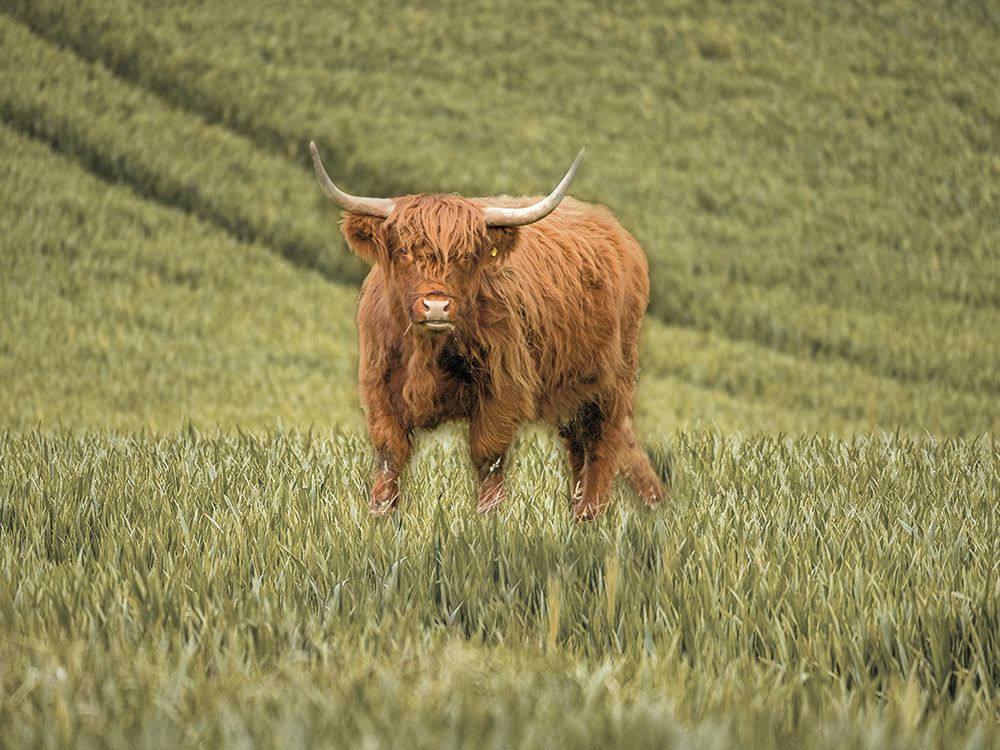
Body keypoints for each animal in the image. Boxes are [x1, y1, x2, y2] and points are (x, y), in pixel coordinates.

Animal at [310, 141, 665, 520]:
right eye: (404, 250)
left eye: (466, 256)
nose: (436, 306)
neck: (427, 353)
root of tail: (617, 231)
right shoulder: (379, 386)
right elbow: (390, 453)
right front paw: (379, 515)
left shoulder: (502, 387)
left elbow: (488, 455)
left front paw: (490, 519)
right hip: (574, 388)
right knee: (580, 444)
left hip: (613, 377)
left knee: (602, 440)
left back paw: (591, 515)